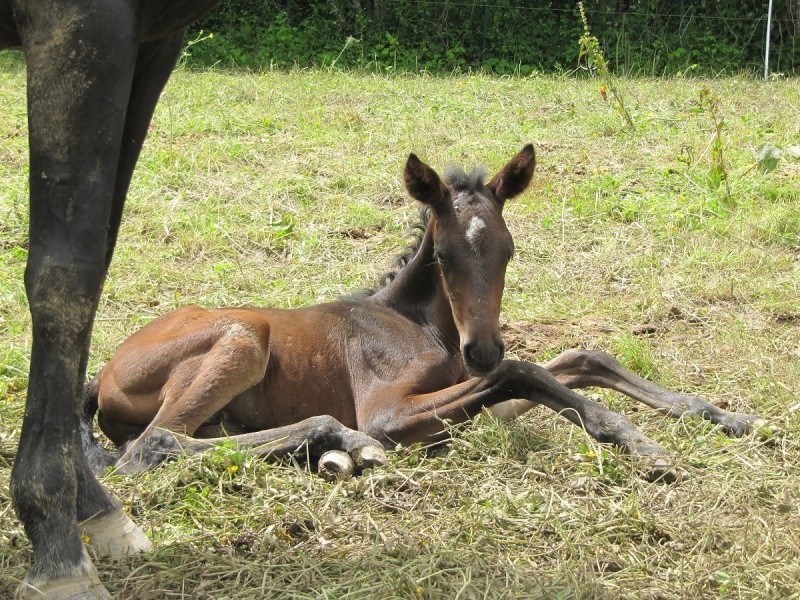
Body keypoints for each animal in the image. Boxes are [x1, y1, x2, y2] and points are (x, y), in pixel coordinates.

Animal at [0, 2, 222, 596]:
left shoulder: (153, 40)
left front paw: (92, 506)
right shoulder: (78, 24)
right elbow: (65, 272)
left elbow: (99, 254)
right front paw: (56, 550)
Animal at [81, 145, 764, 488]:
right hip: (244, 339)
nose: (480, 348)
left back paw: (328, 453)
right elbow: (523, 370)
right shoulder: (391, 411)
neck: (423, 326)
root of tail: (100, 374)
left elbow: (572, 361)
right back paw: (342, 442)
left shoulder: (471, 401)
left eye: (510, 249)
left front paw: (727, 415)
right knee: (153, 445)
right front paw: (639, 443)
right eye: (442, 255)